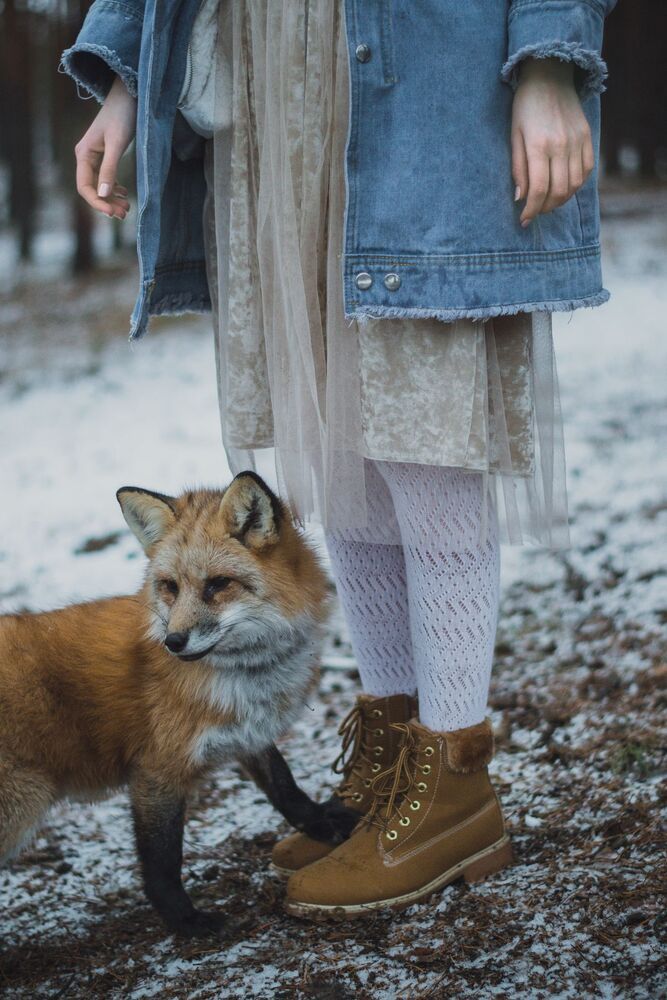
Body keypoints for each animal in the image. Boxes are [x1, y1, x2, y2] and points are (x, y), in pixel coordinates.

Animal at [0, 471, 357, 937]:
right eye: (170, 587)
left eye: (217, 584)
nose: (173, 642)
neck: (244, 675)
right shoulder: (157, 772)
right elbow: (162, 861)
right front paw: (186, 920)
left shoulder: (247, 733)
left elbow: (286, 787)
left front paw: (323, 823)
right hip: (22, 805)